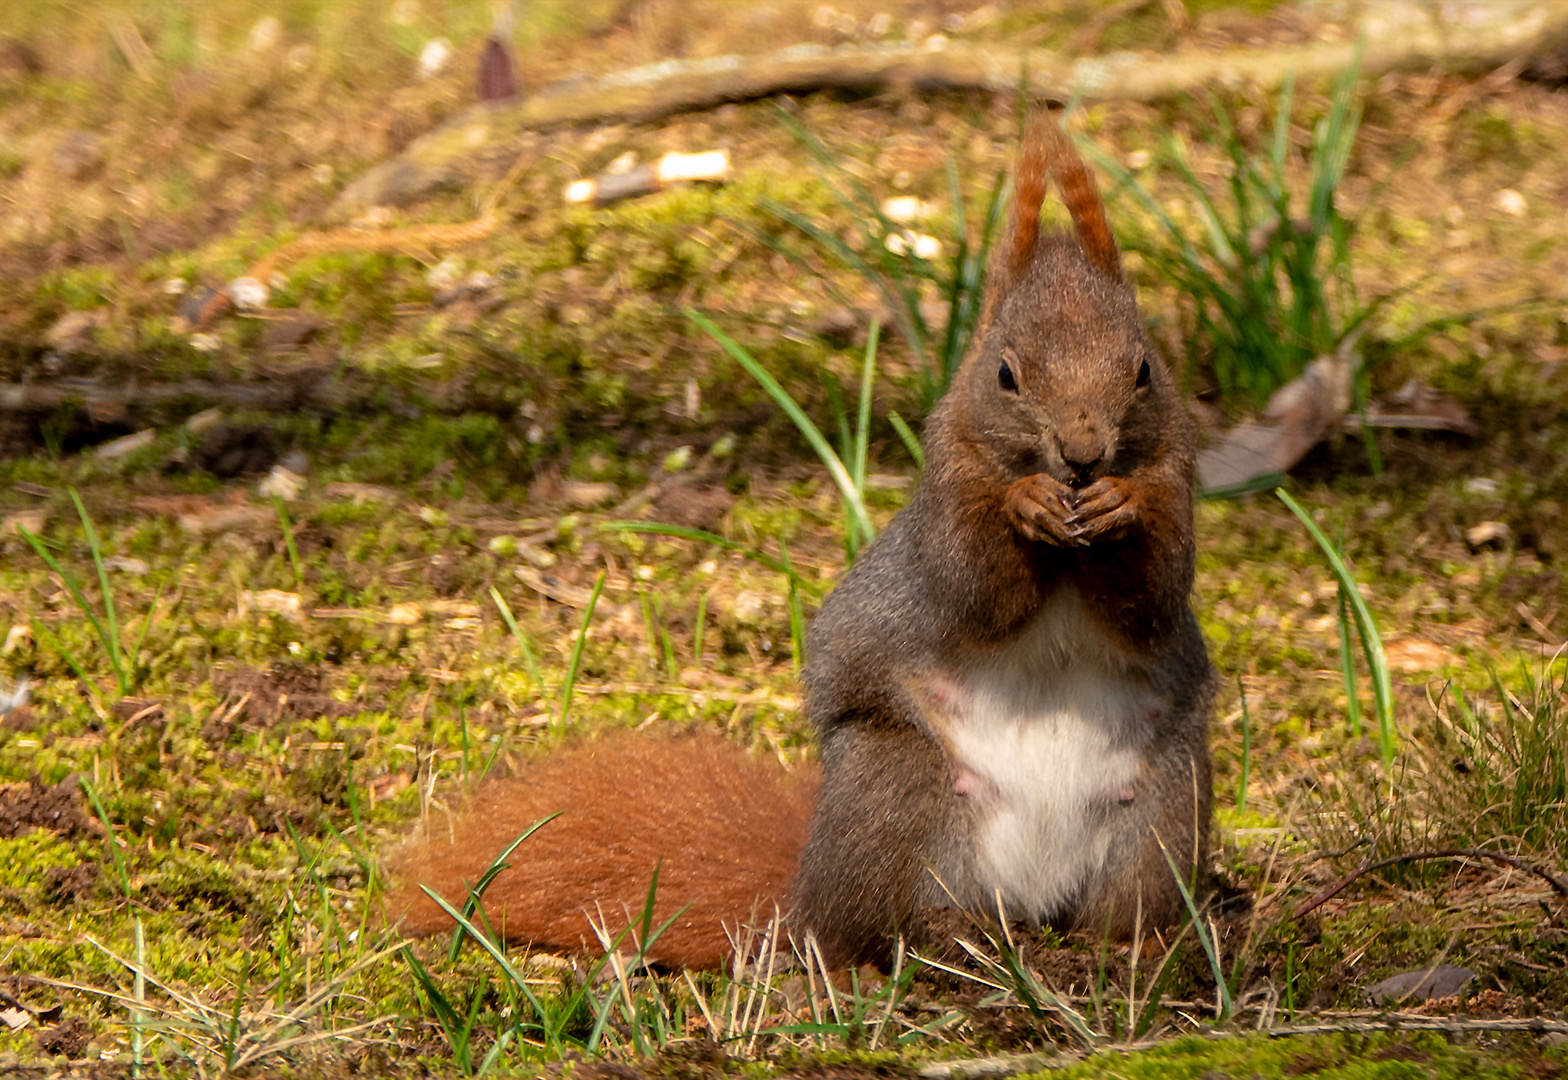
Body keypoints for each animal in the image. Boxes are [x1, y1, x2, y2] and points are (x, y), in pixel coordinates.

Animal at [385, 109, 1216, 971]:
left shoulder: (1178, 480)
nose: (1084, 453)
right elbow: (974, 590)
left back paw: (1140, 950)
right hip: (894, 788)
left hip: (1165, 807)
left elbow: (1152, 597)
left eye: (1144, 368)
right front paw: (1025, 505)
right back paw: (918, 951)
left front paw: (1120, 505)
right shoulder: (946, 503)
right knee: (861, 931)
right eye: (1005, 374)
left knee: (1124, 900)